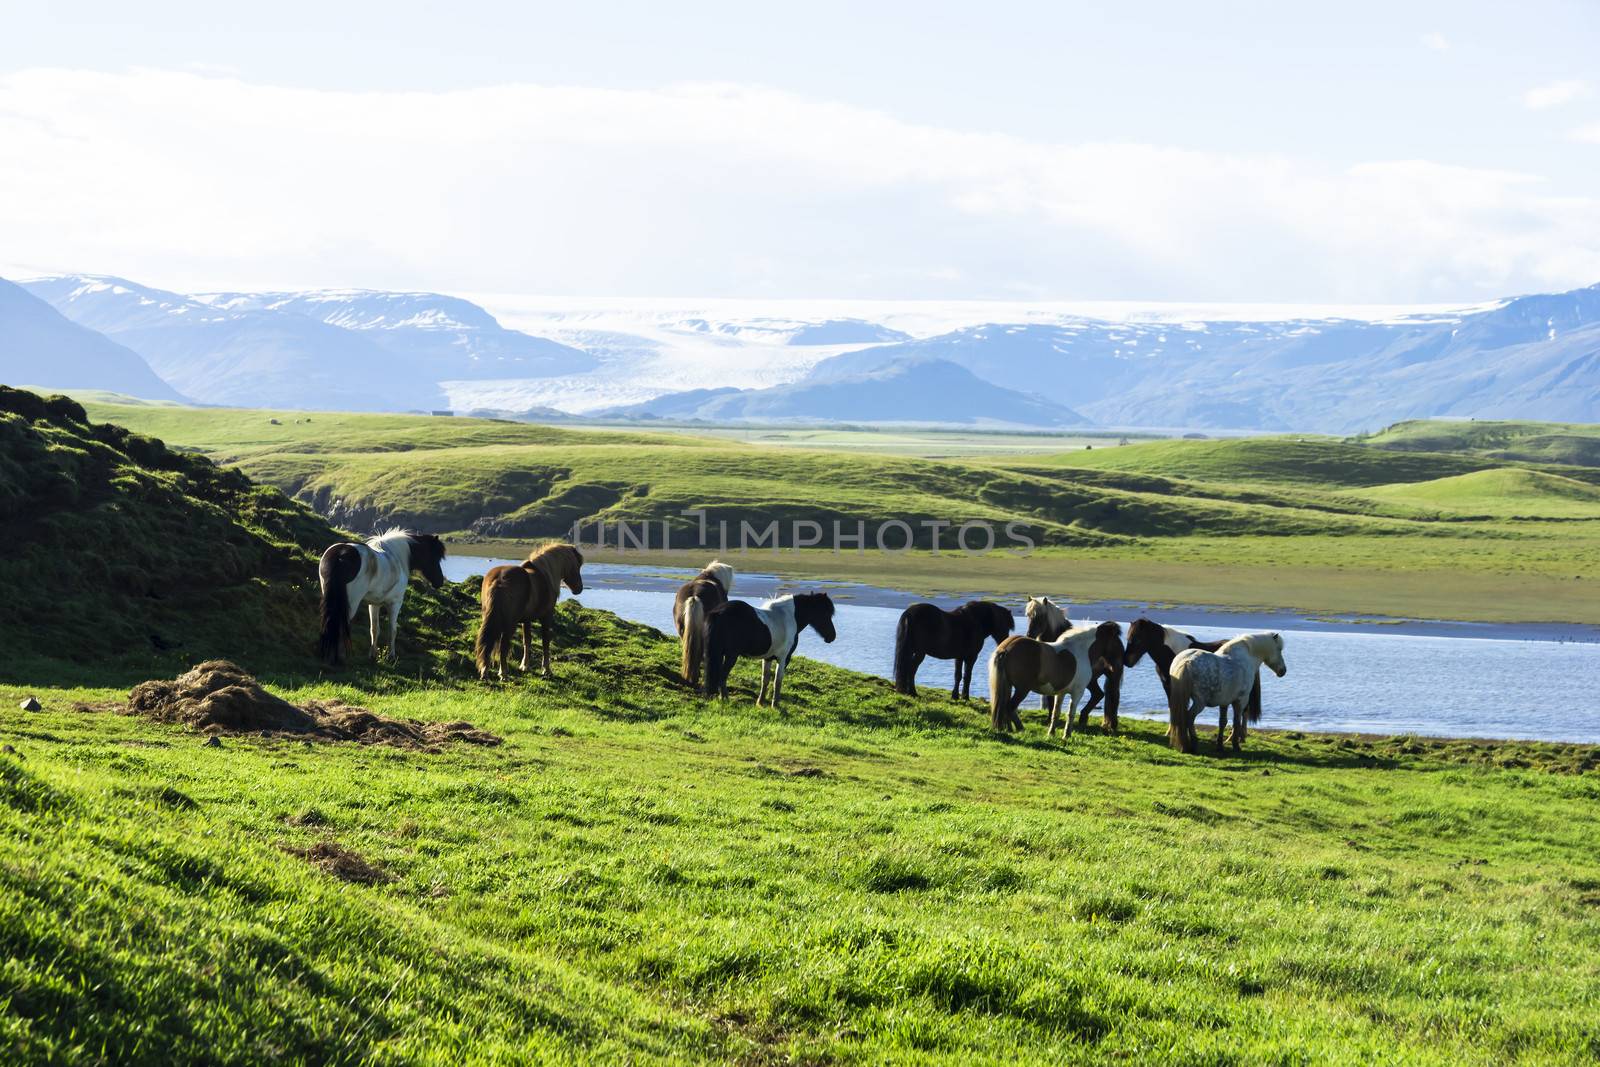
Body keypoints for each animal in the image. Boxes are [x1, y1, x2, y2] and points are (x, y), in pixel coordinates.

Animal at [316, 527, 448, 668]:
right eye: (435, 557)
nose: (439, 582)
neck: (397, 558)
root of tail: (340, 555)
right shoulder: (395, 603)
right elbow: (392, 630)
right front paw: (391, 657)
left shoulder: (374, 604)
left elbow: (374, 629)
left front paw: (373, 656)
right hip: (350, 603)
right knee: (341, 625)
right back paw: (338, 658)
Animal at [473, 547, 588, 681]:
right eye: (577, 565)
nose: (579, 588)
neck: (545, 575)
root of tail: (499, 579)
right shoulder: (546, 617)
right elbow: (545, 642)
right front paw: (546, 670)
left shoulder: (526, 620)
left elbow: (527, 641)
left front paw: (525, 666)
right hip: (510, 623)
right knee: (503, 646)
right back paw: (503, 674)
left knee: (488, 644)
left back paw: (485, 672)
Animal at [710, 591, 844, 710]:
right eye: (825, 613)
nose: (832, 636)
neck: (788, 618)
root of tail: (720, 611)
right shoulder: (784, 658)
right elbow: (778, 680)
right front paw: (775, 705)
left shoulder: (768, 658)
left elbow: (765, 679)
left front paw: (760, 702)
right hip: (731, 656)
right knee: (722, 675)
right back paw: (725, 698)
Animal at [985, 620, 1126, 739]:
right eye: (1118, 642)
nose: (1117, 666)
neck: (1081, 651)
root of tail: (1006, 648)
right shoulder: (1077, 693)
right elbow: (1070, 714)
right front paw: (1066, 735)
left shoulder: (1060, 692)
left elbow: (1055, 712)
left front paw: (1051, 733)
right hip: (1022, 689)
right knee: (1010, 707)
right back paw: (1019, 729)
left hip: (1009, 686)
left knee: (1005, 707)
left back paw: (1009, 729)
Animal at [1017, 598, 1120, 729]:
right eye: (1028, 615)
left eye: (1041, 616)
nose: (1030, 635)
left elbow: (1051, 698)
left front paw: (1049, 719)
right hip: (1094, 680)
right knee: (1099, 694)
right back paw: (1084, 718)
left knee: (1105, 696)